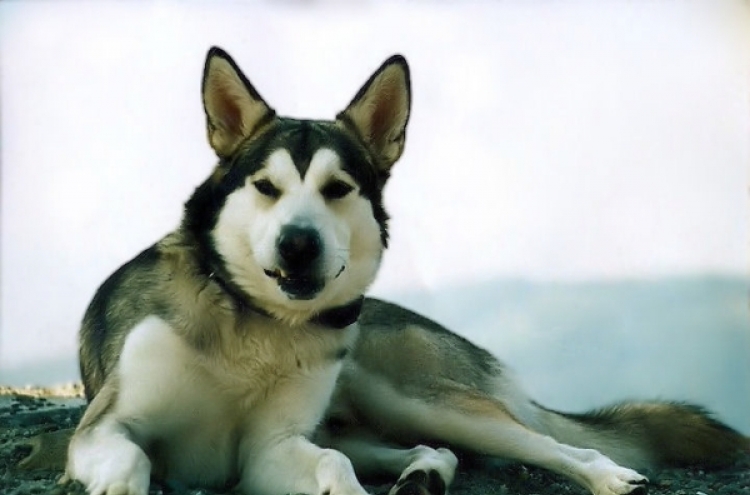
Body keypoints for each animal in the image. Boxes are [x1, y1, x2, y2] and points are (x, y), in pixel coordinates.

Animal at [63, 47, 748, 495]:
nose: (298, 244)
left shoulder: (269, 448)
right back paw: (421, 476)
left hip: (420, 398)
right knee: (421, 451)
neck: (255, 323)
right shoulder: (106, 429)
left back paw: (604, 476)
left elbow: (332, 469)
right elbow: (131, 463)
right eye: (266, 187)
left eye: (337, 189)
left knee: (543, 443)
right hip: (372, 420)